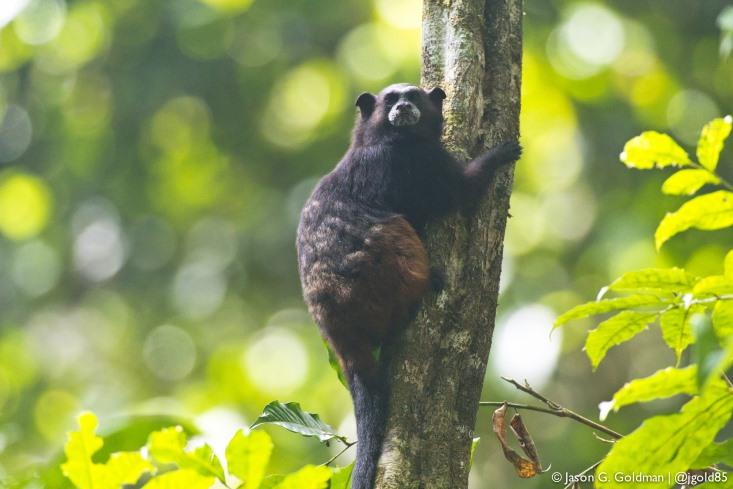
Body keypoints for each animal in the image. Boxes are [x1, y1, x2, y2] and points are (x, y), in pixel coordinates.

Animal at [294, 82, 516, 486]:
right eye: (389, 101)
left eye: (412, 96)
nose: (402, 107)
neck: (375, 138)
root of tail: (339, 332)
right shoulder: (413, 160)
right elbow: (457, 193)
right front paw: (498, 156)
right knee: (396, 231)